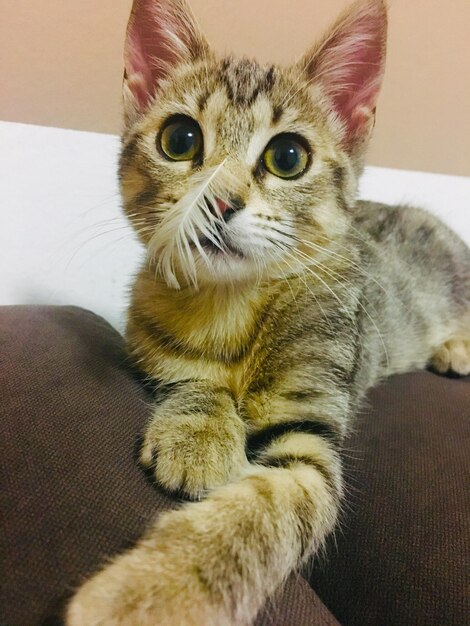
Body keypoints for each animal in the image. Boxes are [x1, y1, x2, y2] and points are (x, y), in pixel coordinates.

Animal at [66, 0, 470, 620]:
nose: (220, 200)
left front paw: (150, 591)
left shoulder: (310, 434)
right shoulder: (155, 344)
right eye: (179, 139)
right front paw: (200, 432)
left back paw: (455, 346)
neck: (229, 305)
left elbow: (269, 511)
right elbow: (192, 378)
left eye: (287, 157)